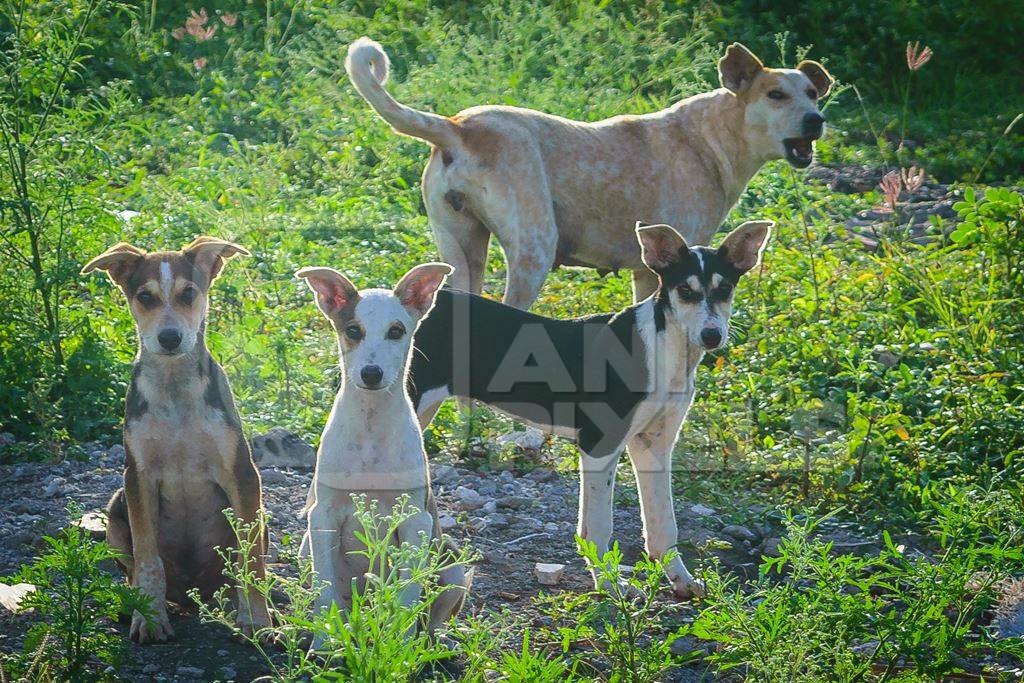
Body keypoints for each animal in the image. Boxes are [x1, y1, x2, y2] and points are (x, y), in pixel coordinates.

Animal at [344, 38, 831, 311]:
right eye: (775, 94)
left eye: (812, 93)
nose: (816, 121)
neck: (713, 138)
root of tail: (458, 125)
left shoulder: (644, 274)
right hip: (534, 250)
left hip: (462, 250)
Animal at [407, 220, 770, 598]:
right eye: (685, 290)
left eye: (725, 289)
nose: (712, 335)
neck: (662, 348)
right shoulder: (600, 443)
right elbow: (597, 528)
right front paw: (611, 585)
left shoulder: (655, 445)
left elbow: (663, 526)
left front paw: (680, 578)